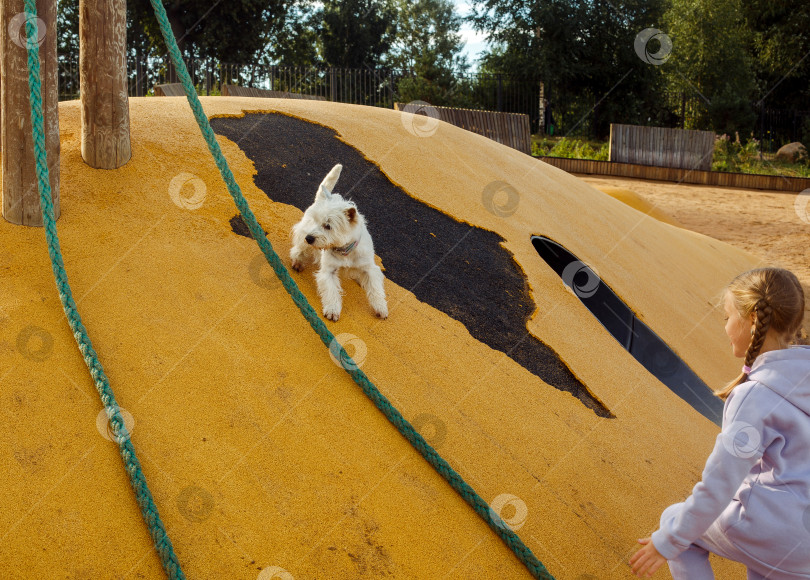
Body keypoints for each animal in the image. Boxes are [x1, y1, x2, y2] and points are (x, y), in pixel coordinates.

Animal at [290, 164, 388, 322]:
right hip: (302, 234)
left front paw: (381, 308)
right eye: (315, 221)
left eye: (328, 226)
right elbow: (331, 291)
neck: (345, 250)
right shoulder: (328, 271)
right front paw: (332, 310)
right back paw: (298, 262)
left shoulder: (369, 268)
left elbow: (375, 288)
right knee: (298, 249)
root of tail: (323, 197)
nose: (309, 238)